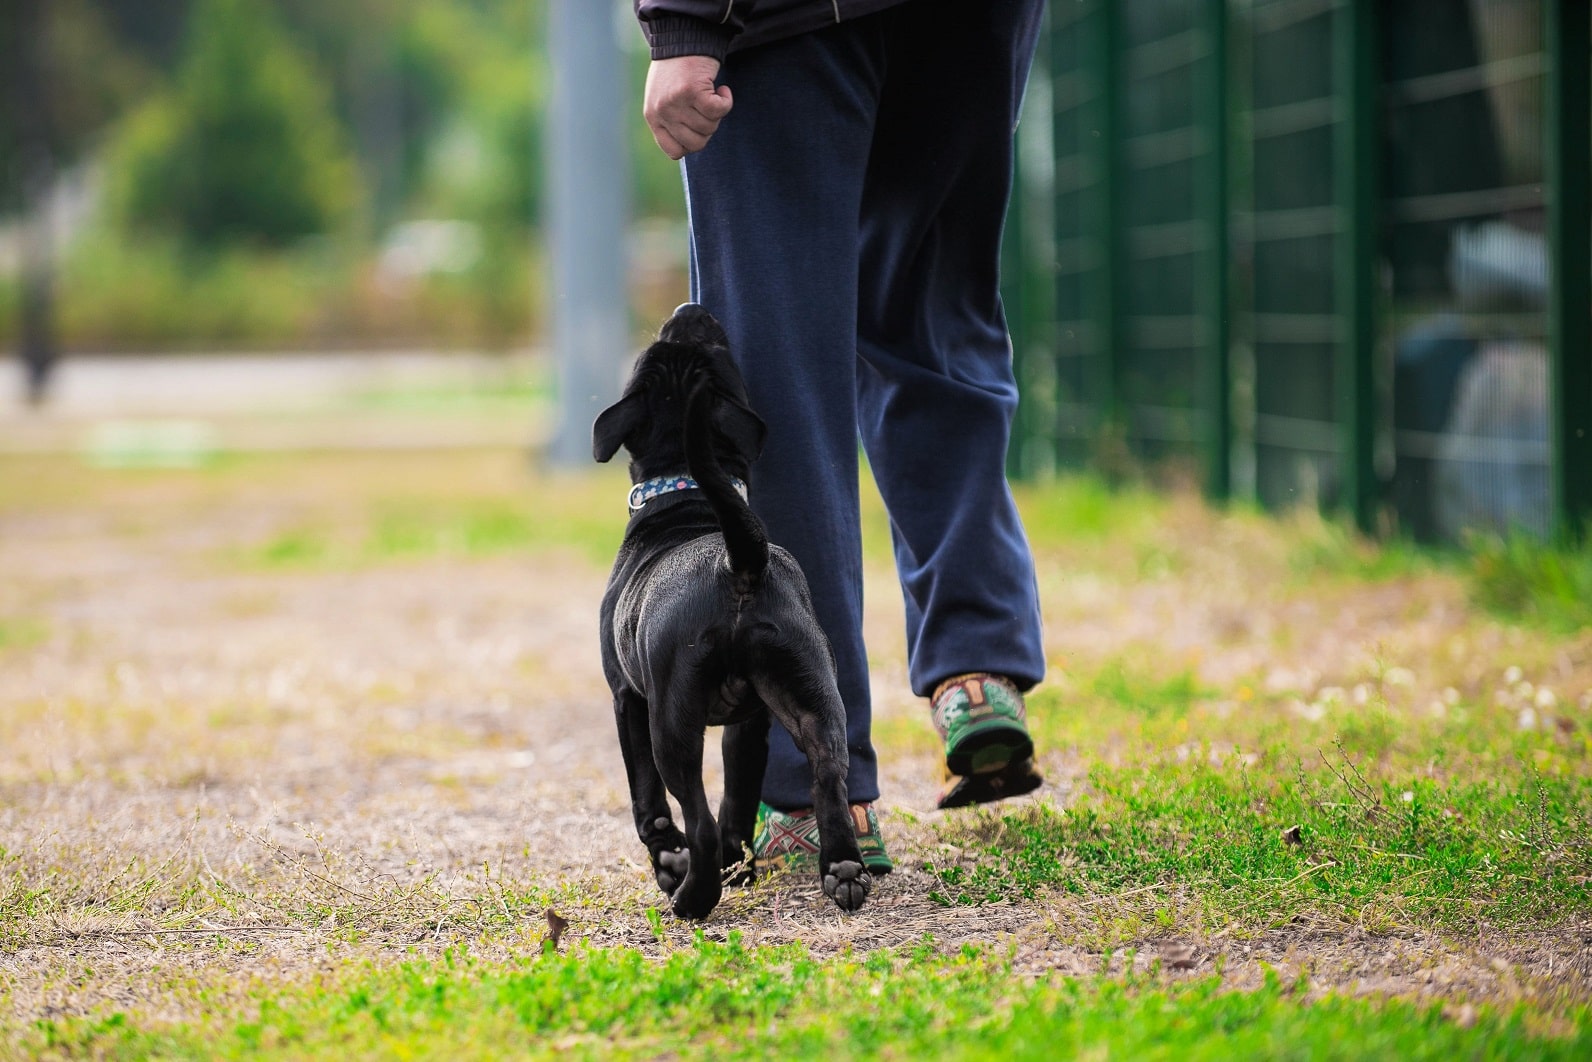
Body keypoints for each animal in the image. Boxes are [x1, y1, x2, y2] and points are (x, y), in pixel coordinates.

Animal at [595, 302, 872, 917]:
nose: (689, 308)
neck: (686, 496)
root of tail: (738, 561)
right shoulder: (752, 721)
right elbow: (741, 796)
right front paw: (737, 864)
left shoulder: (627, 698)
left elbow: (647, 801)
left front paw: (671, 863)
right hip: (814, 696)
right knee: (830, 777)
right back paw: (842, 870)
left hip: (672, 723)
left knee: (693, 811)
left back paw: (693, 897)